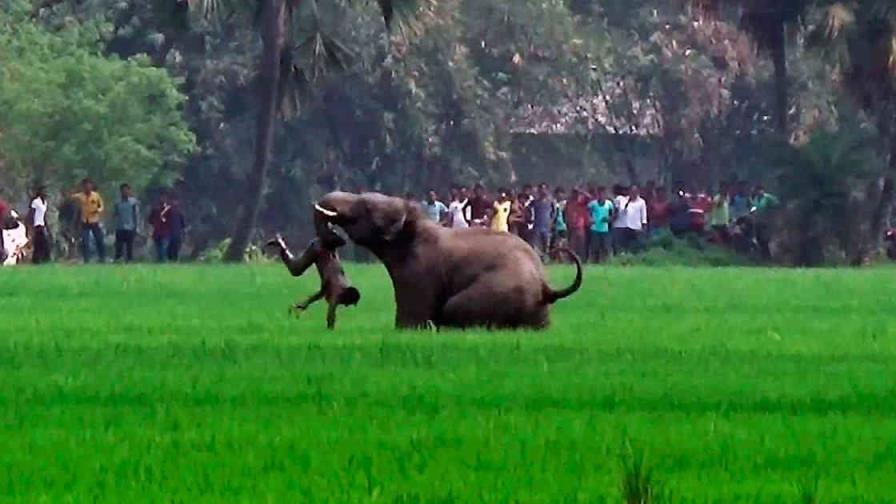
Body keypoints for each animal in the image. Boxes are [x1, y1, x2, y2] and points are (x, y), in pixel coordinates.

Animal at [314, 191, 580, 328]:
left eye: (365, 207)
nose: (335, 239)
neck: (413, 223)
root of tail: (546, 287)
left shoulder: (419, 272)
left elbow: (412, 318)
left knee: (453, 307)